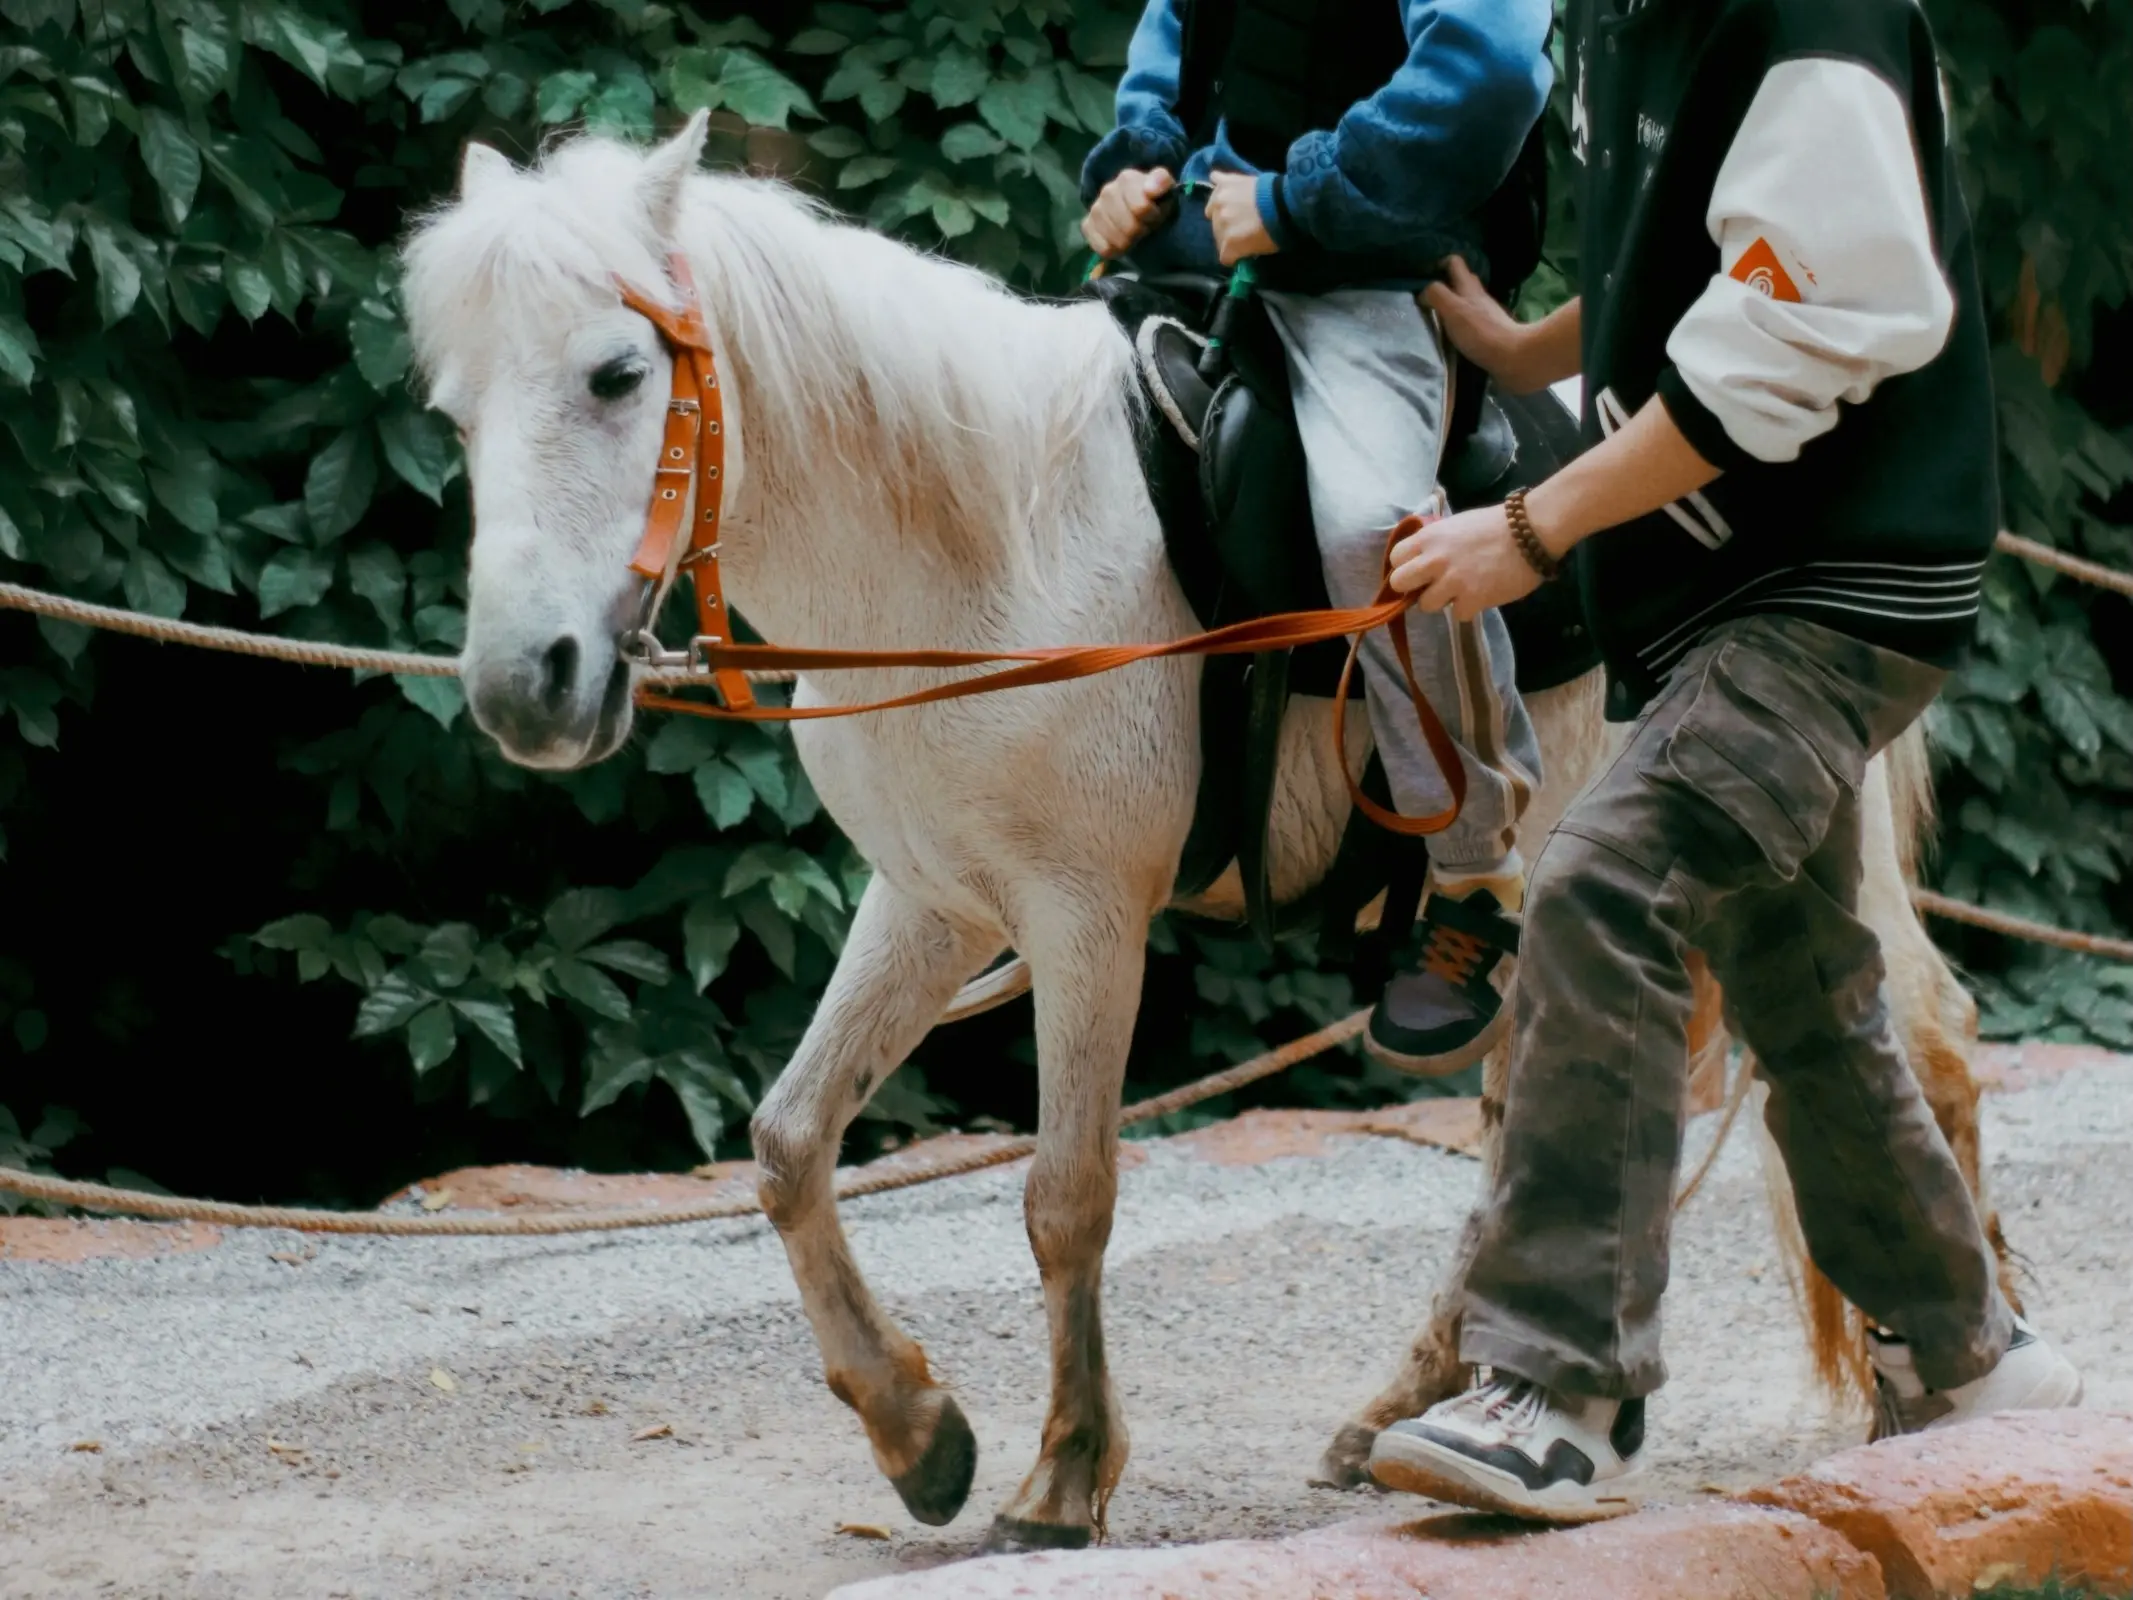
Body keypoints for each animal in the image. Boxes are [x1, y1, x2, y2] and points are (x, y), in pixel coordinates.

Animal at [400, 111, 2012, 1551]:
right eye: (455, 414)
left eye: (618, 373)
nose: (525, 684)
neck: (984, 543)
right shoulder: (932, 903)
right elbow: (791, 1142)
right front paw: (920, 1436)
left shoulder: (1084, 919)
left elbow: (1065, 1194)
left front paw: (1064, 1474)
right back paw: (1439, 1410)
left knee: (1916, 1039)